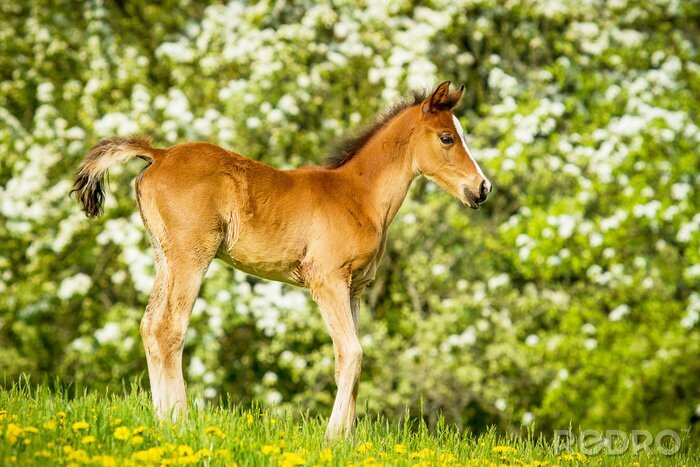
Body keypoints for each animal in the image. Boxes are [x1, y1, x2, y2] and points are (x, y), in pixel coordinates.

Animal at [69, 82, 486, 440]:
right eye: (447, 138)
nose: (482, 188)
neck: (360, 195)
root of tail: (160, 153)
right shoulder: (327, 281)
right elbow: (352, 353)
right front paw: (333, 438)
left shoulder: (355, 288)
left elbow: (347, 358)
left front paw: (349, 440)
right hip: (191, 257)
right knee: (168, 329)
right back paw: (180, 422)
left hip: (163, 257)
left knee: (148, 326)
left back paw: (160, 419)